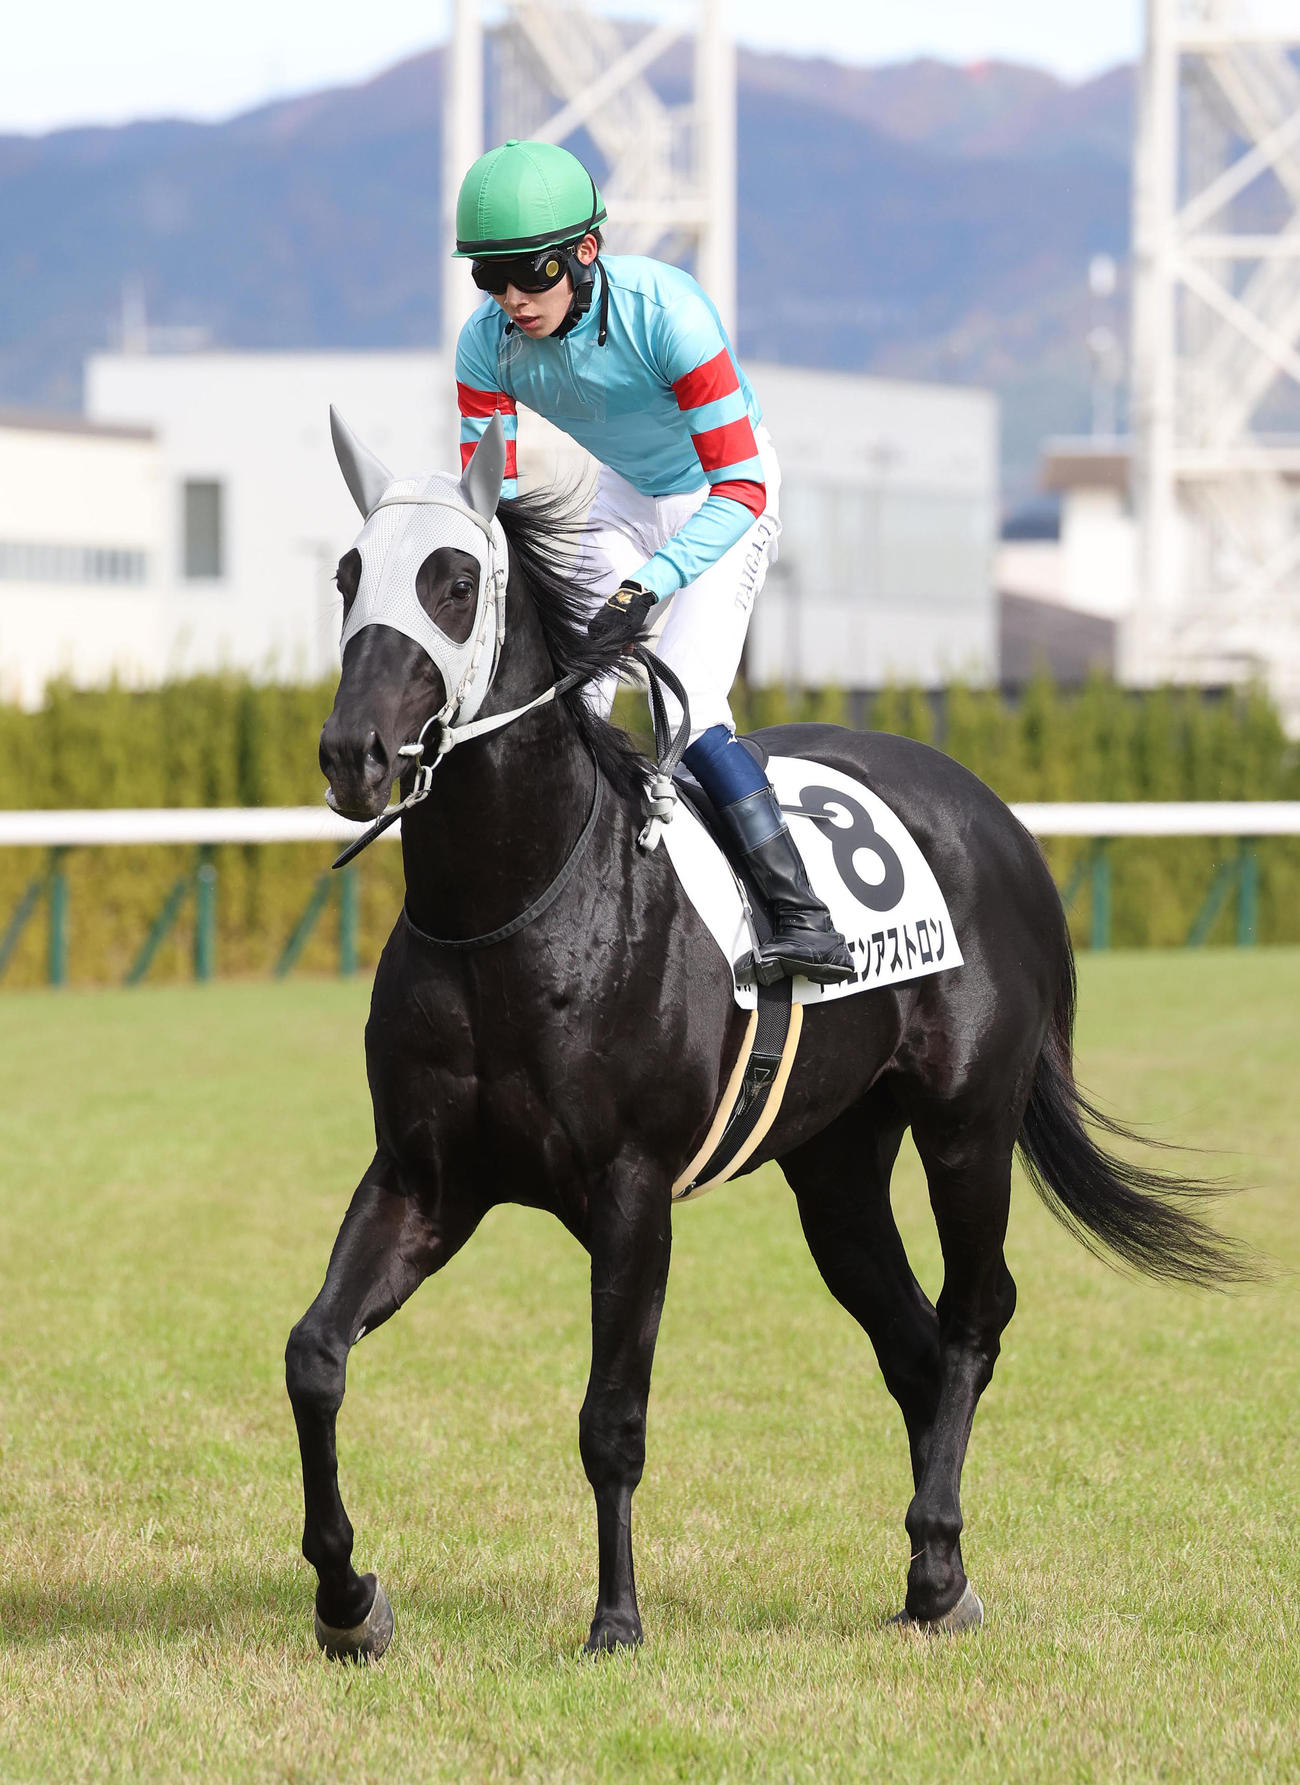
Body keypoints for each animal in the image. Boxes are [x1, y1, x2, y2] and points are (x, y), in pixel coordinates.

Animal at [287, 413, 1248, 1662]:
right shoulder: (421, 1179)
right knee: (910, 1342)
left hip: (965, 1125)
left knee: (972, 1318)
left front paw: (616, 1620)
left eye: (453, 581)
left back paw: (937, 1558)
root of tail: (992, 815)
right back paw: (935, 1572)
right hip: (836, 1164)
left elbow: (611, 1417)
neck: (512, 906)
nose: (353, 754)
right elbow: (315, 1356)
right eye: (349, 574)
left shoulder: (630, 1191)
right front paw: (348, 1599)